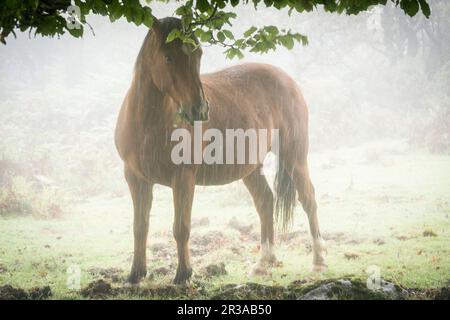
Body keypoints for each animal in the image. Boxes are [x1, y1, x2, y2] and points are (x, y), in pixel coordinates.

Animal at [115, 17, 326, 284]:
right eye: (167, 57)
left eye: (198, 55)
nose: (199, 109)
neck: (147, 124)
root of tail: (286, 79)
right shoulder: (135, 178)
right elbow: (139, 227)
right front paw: (135, 274)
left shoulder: (183, 178)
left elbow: (181, 228)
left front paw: (183, 275)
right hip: (251, 167)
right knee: (265, 201)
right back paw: (263, 263)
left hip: (293, 155)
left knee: (308, 198)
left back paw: (318, 261)